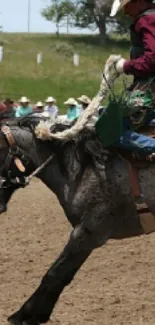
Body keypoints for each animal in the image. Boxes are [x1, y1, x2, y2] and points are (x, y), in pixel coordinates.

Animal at [0, 56, 155, 324]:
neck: (79, 164)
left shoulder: (88, 232)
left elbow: (55, 273)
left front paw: (23, 314)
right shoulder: (86, 236)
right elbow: (64, 275)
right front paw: (38, 313)